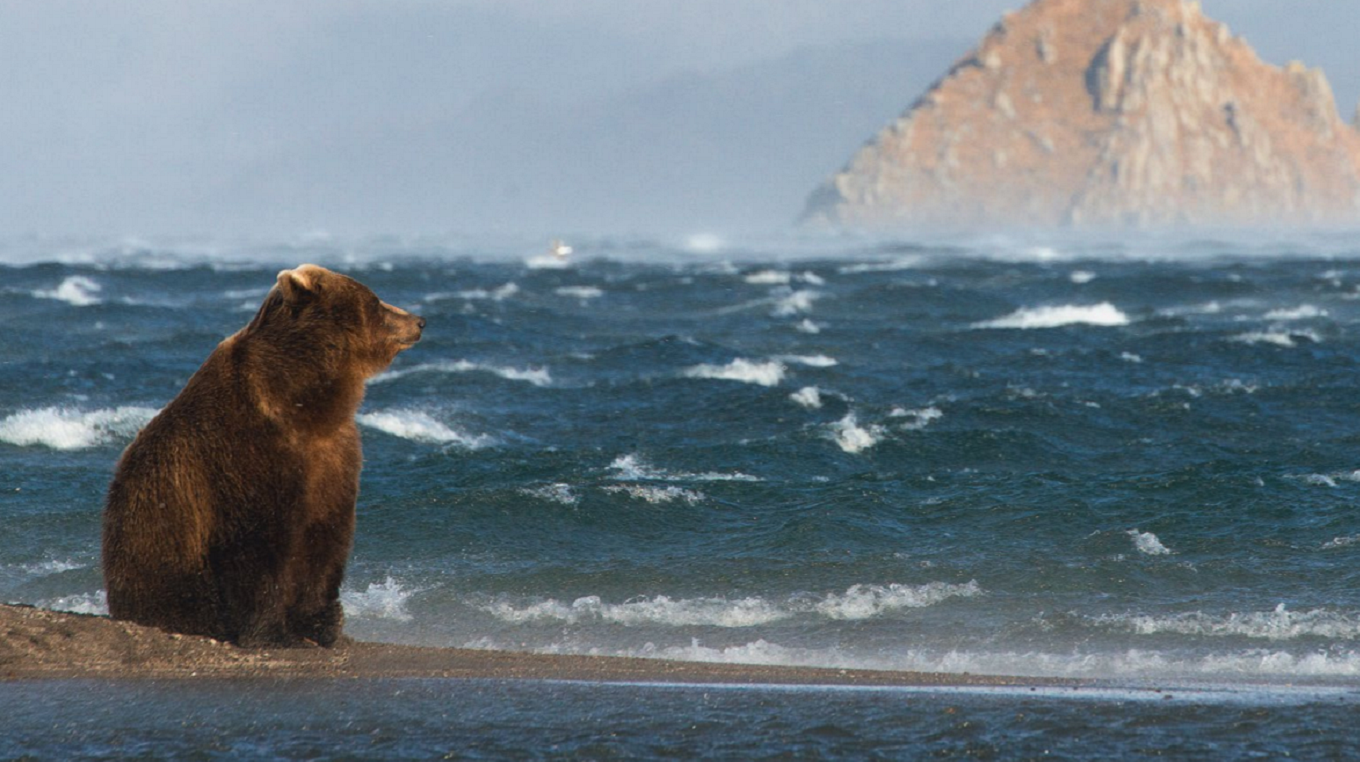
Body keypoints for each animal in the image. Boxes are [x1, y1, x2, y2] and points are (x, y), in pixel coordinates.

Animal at [102, 265, 424, 644]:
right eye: (375, 301)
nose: (418, 321)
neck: (304, 405)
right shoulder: (248, 454)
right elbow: (256, 548)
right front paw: (274, 632)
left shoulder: (334, 457)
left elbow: (325, 539)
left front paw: (323, 625)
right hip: (162, 565)